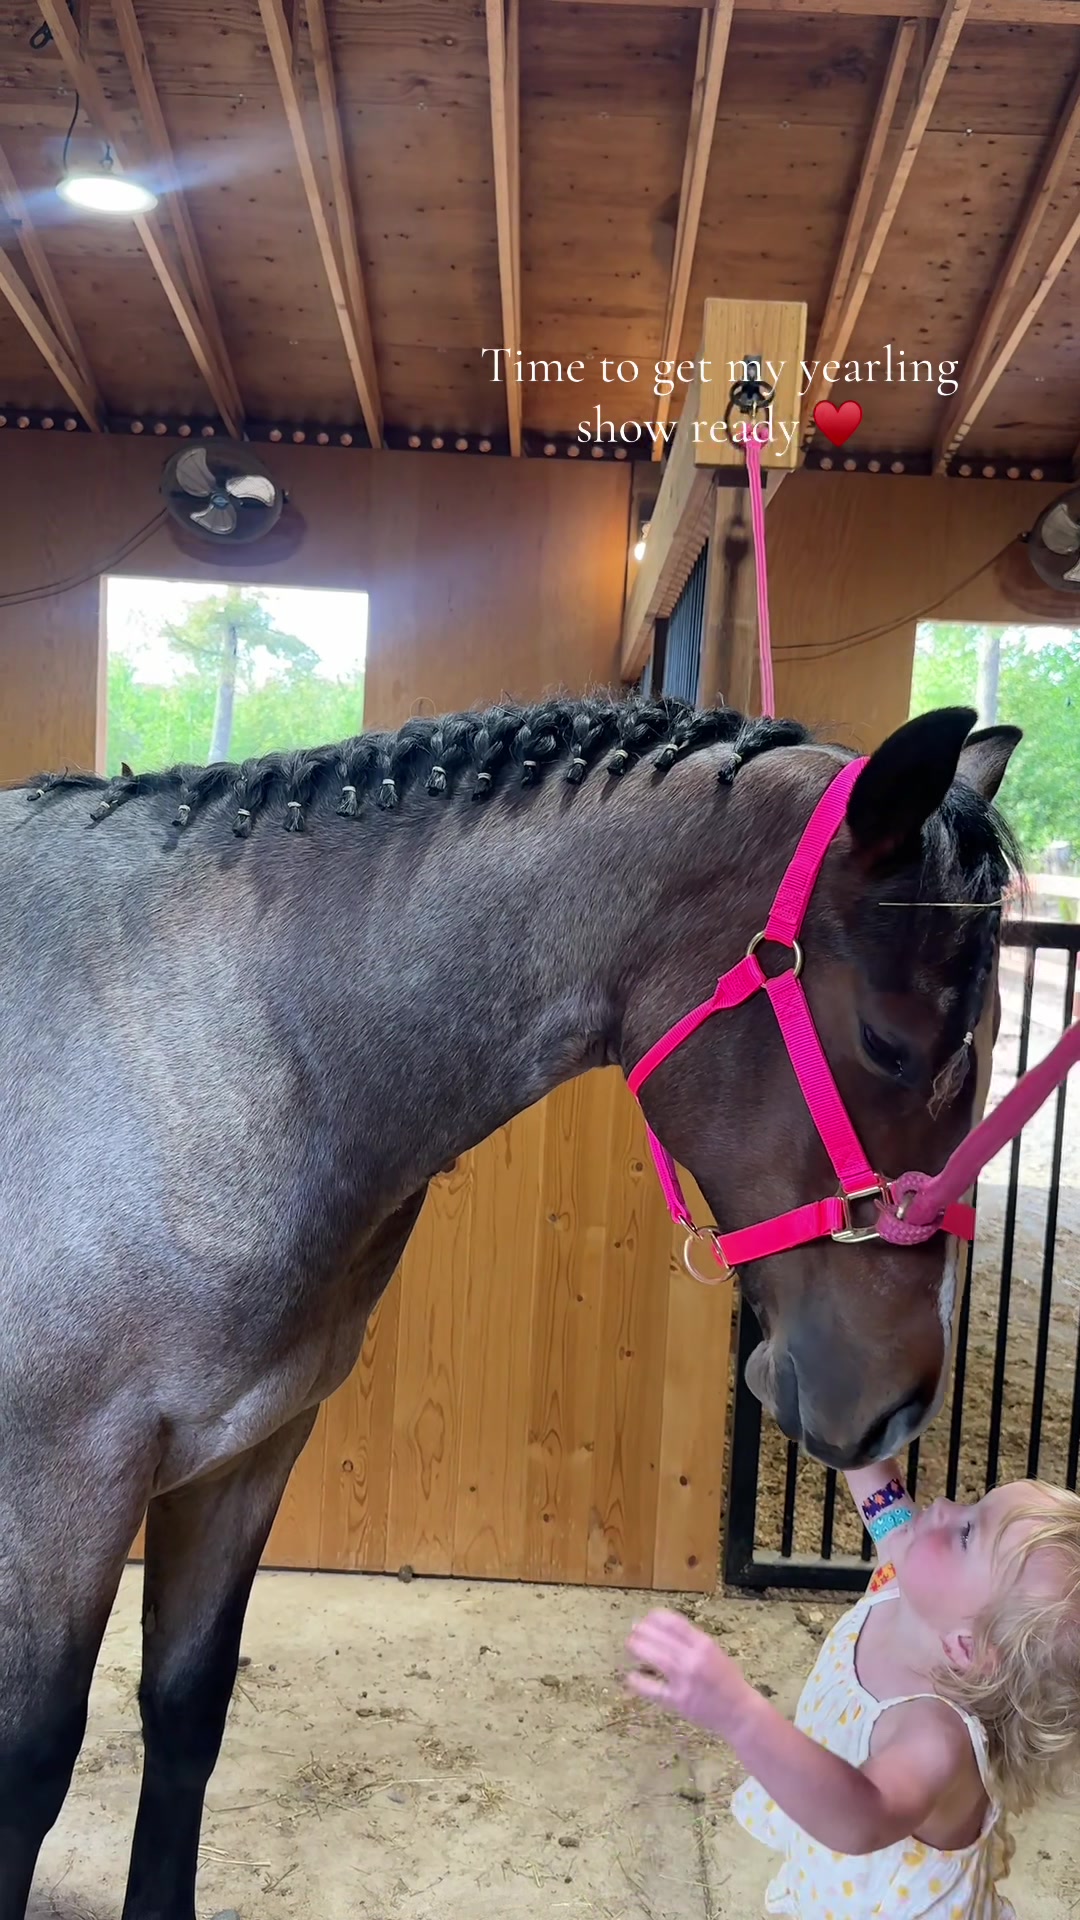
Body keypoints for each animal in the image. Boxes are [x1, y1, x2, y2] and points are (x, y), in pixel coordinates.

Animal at [0, 690, 1019, 1918]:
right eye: (888, 1041)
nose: (899, 1399)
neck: (212, 1042)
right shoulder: (65, 1476)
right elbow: (32, 1761)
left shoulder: (245, 1453)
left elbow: (186, 1712)